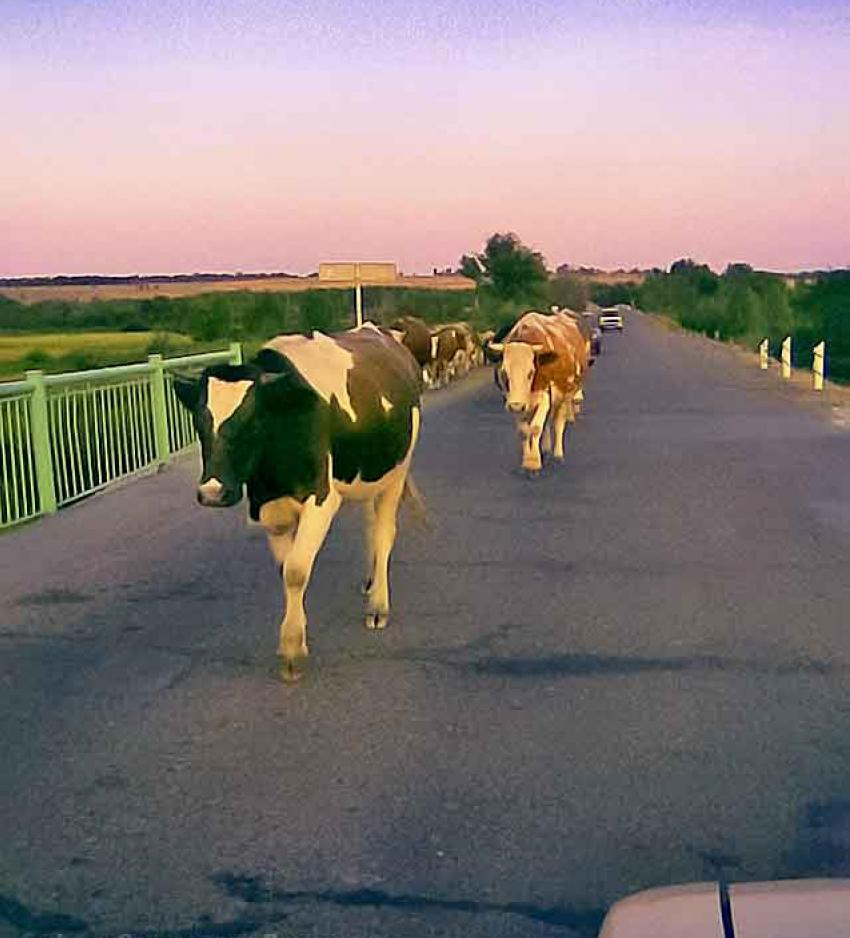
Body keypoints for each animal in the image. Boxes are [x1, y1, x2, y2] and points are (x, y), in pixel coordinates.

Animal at [173, 326, 424, 676]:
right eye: (199, 423)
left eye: (253, 421)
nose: (212, 492)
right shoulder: (268, 508)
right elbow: (287, 570)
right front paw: (296, 636)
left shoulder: (321, 501)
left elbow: (296, 570)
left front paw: (292, 649)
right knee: (370, 526)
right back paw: (370, 580)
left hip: (397, 472)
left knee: (384, 532)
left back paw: (378, 605)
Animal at [486, 310, 588, 472]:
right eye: (504, 372)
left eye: (531, 372)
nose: (516, 405)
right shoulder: (513, 400)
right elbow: (524, 431)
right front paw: (528, 461)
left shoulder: (544, 396)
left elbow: (535, 428)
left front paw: (533, 463)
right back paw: (545, 450)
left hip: (565, 393)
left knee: (558, 421)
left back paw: (558, 454)